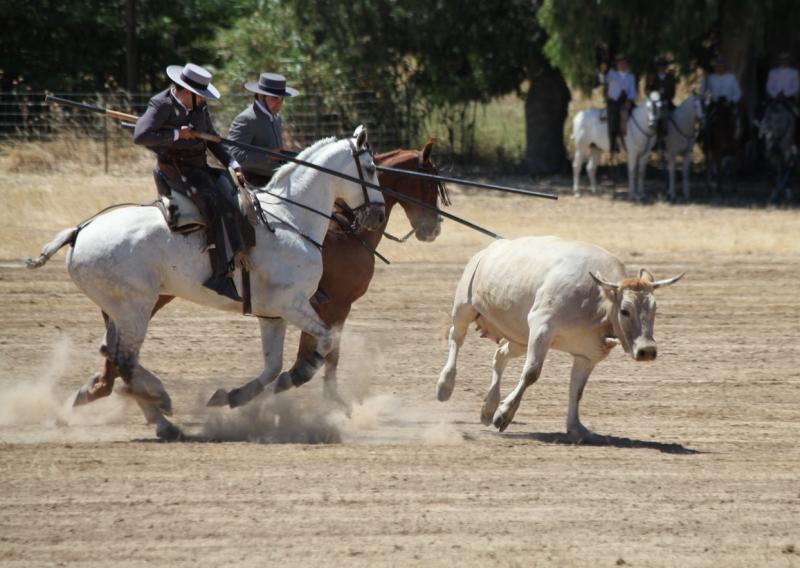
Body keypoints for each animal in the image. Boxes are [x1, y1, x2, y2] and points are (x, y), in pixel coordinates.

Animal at [28, 125, 384, 440]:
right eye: (369, 168)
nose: (378, 215)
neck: (290, 219)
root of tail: (79, 230)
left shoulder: (273, 315)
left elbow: (273, 366)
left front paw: (232, 396)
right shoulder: (294, 304)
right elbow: (324, 344)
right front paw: (297, 375)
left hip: (120, 310)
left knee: (114, 355)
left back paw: (153, 414)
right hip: (135, 308)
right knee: (125, 360)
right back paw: (160, 405)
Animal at [434, 236, 684, 440]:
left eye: (654, 309)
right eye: (625, 310)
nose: (647, 350)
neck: (597, 300)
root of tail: (489, 249)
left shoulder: (588, 354)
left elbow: (577, 390)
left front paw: (576, 427)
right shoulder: (541, 327)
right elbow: (531, 374)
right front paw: (504, 414)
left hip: (519, 338)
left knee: (500, 356)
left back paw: (488, 407)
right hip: (464, 307)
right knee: (456, 339)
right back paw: (446, 385)